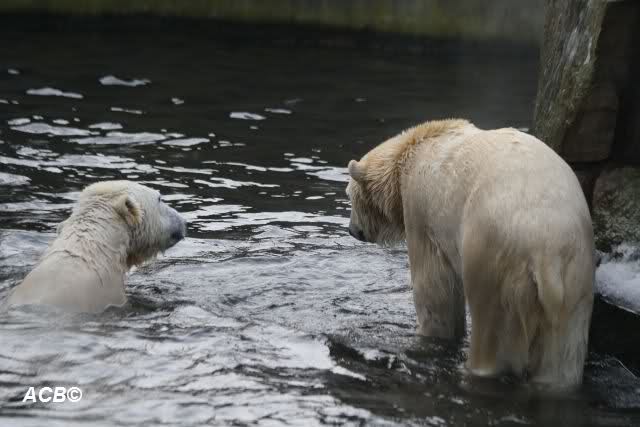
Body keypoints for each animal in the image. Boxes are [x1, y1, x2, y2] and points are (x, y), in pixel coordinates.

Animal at [346, 119, 594, 387]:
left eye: (350, 196)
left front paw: (427, 333)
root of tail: (545, 255)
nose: (352, 230)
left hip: (494, 261)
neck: (411, 151)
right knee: (561, 359)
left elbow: (434, 289)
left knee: (491, 331)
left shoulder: (421, 211)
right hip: (575, 274)